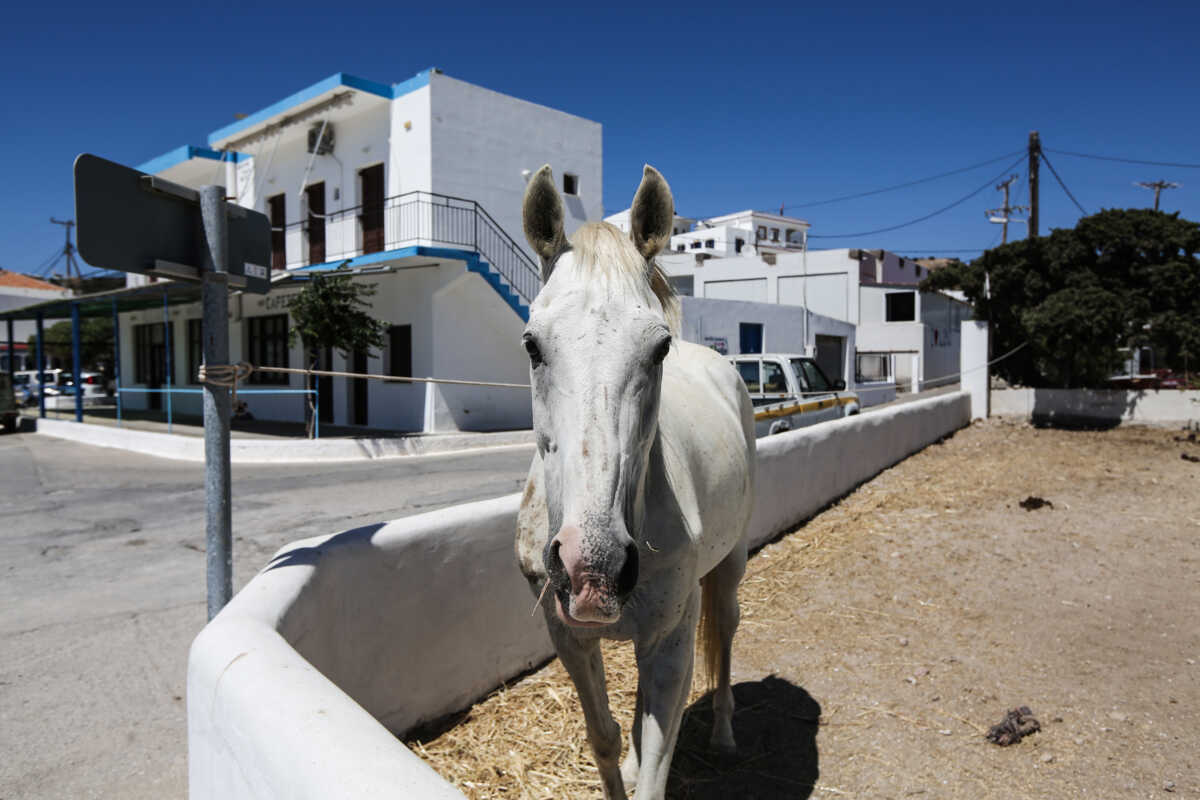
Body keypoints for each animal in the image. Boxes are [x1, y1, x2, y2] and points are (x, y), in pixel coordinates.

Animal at [513, 165, 753, 796]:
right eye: (531, 344)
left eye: (659, 346)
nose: (591, 568)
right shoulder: (569, 636)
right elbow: (606, 736)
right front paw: (616, 762)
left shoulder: (672, 642)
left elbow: (656, 765)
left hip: (730, 567)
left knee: (725, 635)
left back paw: (725, 736)